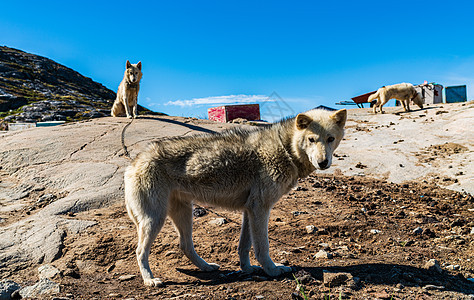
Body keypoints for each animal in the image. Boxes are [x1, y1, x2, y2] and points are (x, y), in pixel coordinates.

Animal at [125, 108, 348, 286]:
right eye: (311, 140)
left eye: (330, 139)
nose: (323, 162)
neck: (285, 148)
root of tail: (133, 163)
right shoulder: (260, 209)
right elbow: (262, 248)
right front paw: (273, 270)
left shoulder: (249, 211)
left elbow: (244, 246)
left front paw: (247, 269)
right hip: (155, 219)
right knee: (140, 252)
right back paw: (149, 280)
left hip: (184, 214)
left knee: (185, 246)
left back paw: (206, 267)